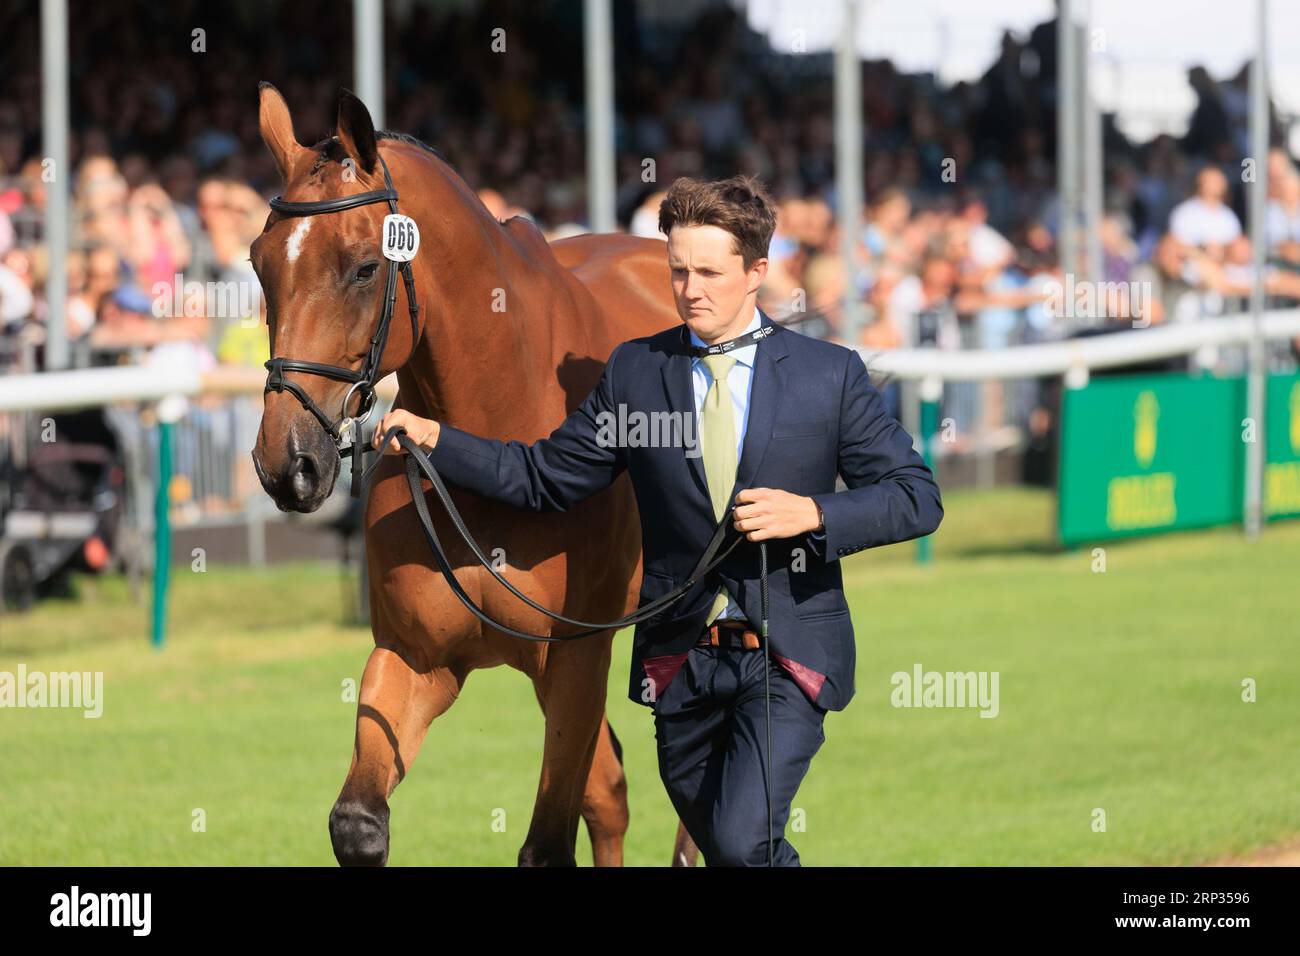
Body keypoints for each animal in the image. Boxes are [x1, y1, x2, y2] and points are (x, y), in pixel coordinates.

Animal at [244, 85, 696, 868]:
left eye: (364, 267)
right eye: (259, 264)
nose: (287, 461)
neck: (499, 441)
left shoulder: (576, 660)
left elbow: (548, 843)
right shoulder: (415, 657)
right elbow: (358, 823)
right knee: (610, 795)